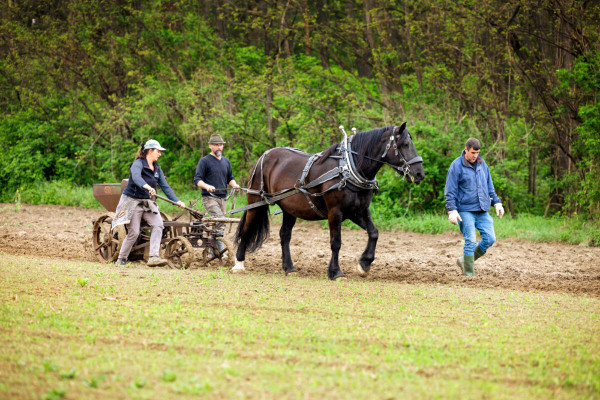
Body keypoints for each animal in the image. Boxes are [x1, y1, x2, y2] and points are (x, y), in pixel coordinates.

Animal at [232, 123, 424, 280]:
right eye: (405, 144)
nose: (420, 174)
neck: (349, 169)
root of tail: (265, 155)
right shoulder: (335, 212)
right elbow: (336, 243)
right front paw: (336, 272)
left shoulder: (358, 211)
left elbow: (374, 233)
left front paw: (364, 264)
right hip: (256, 201)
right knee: (247, 230)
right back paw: (239, 263)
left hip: (289, 209)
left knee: (284, 236)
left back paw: (289, 268)